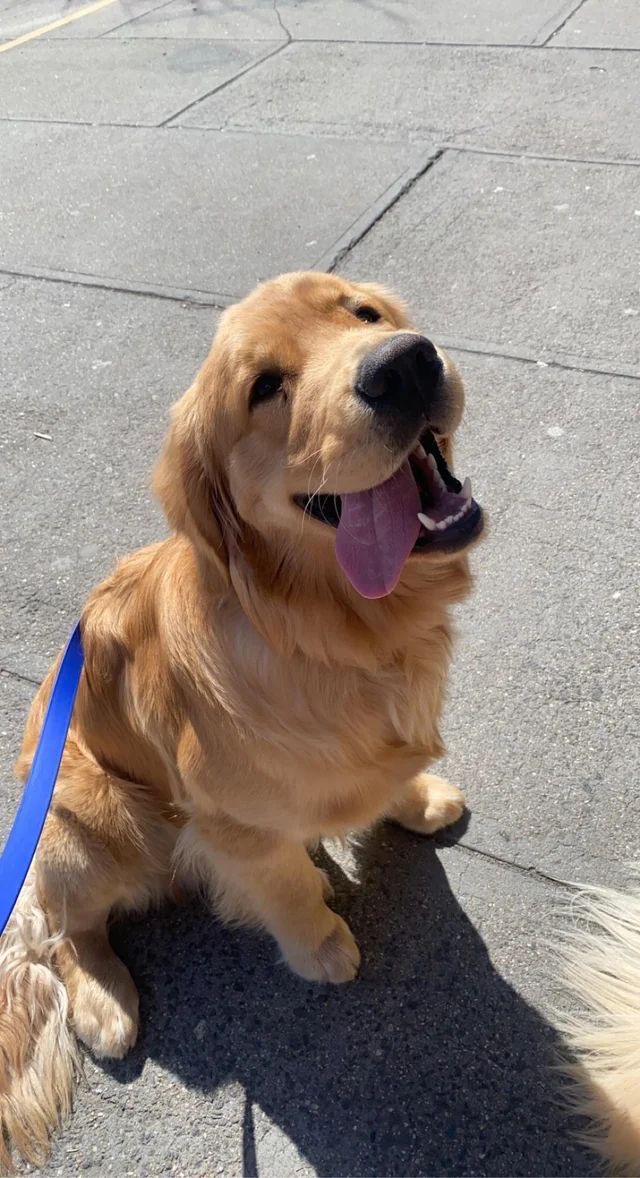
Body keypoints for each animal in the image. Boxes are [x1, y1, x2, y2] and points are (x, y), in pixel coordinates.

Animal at [0, 270, 483, 1163]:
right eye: (264, 388)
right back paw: (105, 1002)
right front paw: (320, 943)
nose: (404, 365)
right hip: (91, 814)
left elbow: (388, 782)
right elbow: (287, 884)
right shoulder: (232, 827)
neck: (333, 632)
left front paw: (418, 797)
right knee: (60, 929)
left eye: (363, 313)